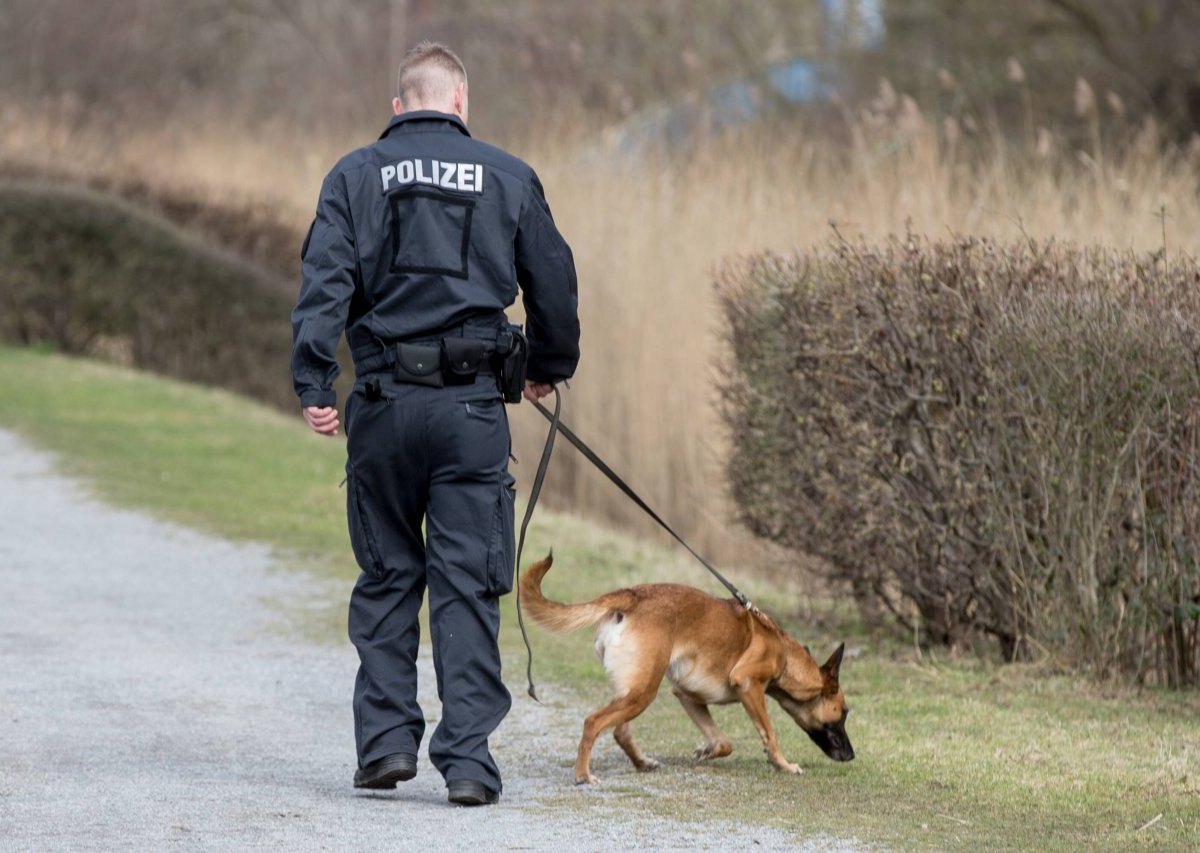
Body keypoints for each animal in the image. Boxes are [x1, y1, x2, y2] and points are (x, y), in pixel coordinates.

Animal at [523, 554, 854, 787]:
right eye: (843, 712)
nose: (852, 755)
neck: (784, 653)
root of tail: (631, 595)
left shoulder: (687, 695)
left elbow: (724, 742)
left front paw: (707, 752)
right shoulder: (748, 685)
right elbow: (769, 733)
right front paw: (783, 765)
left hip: (635, 690)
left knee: (620, 730)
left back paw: (642, 762)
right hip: (642, 692)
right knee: (593, 722)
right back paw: (582, 774)